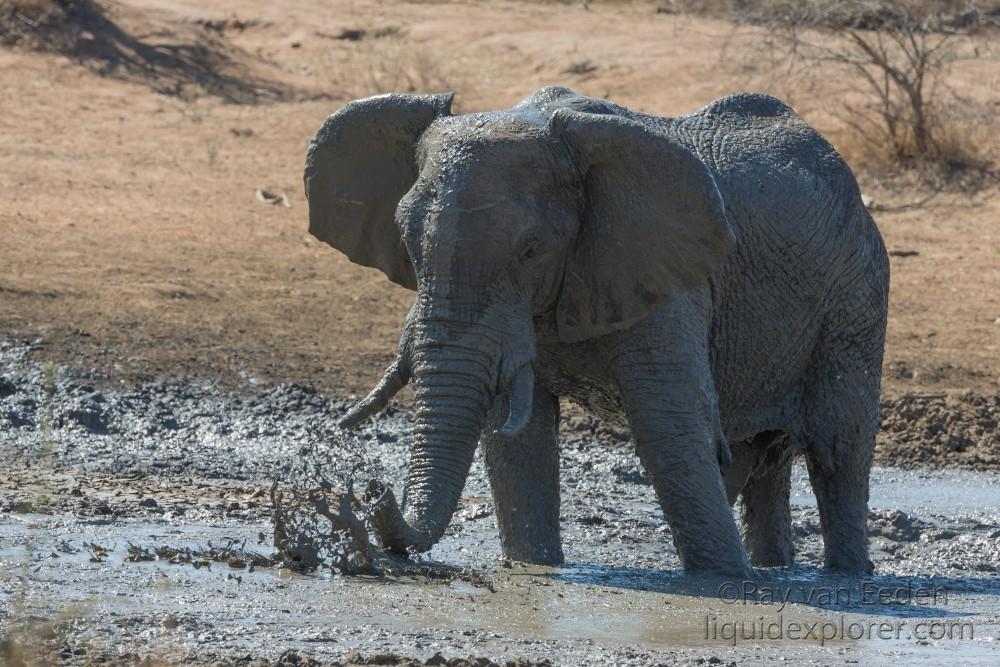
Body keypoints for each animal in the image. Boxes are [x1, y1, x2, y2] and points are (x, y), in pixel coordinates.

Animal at [304, 85, 892, 580]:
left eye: (531, 250)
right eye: (406, 243)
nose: (368, 492)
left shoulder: (668, 272)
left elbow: (668, 424)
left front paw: (724, 583)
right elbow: (517, 439)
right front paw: (533, 572)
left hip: (855, 294)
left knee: (838, 448)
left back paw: (845, 579)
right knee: (764, 459)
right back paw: (776, 570)